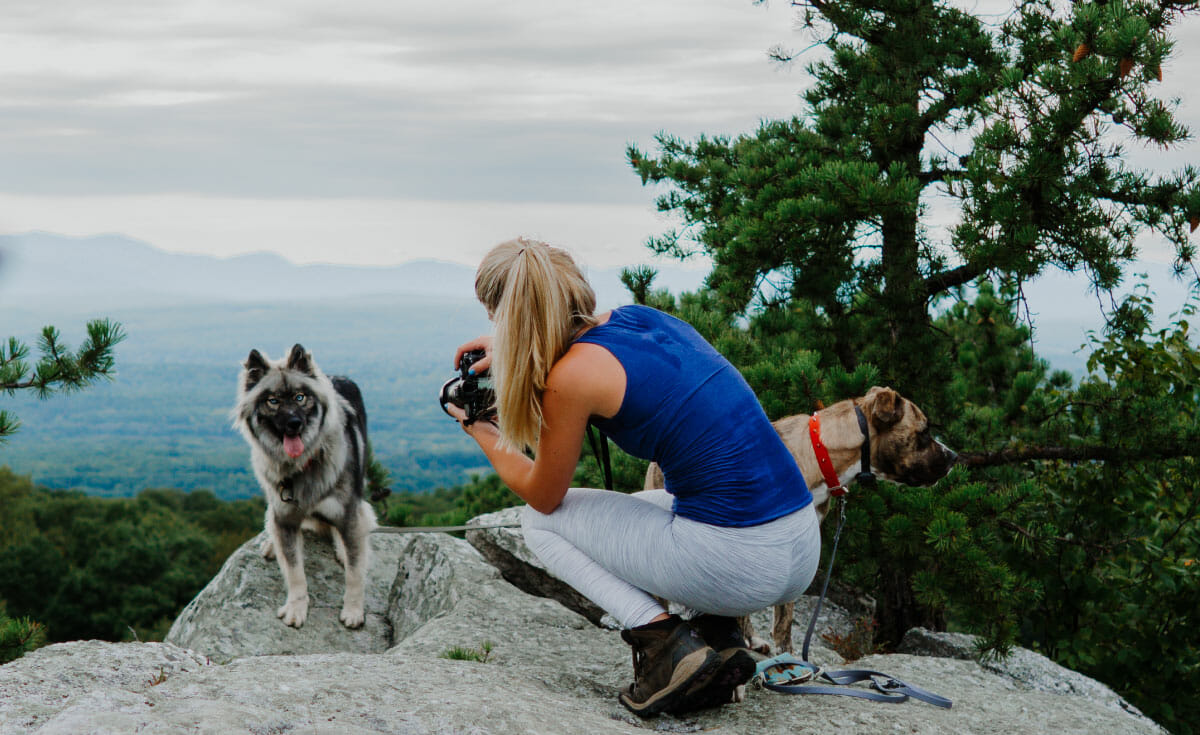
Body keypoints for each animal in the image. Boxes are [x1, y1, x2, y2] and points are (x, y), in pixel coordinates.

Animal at [226, 343, 372, 624]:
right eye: (272, 401)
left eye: (300, 397)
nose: (294, 423)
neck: (303, 464)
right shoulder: (285, 519)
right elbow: (295, 573)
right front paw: (296, 608)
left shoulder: (348, 513)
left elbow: (355, 572)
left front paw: (353, 610)